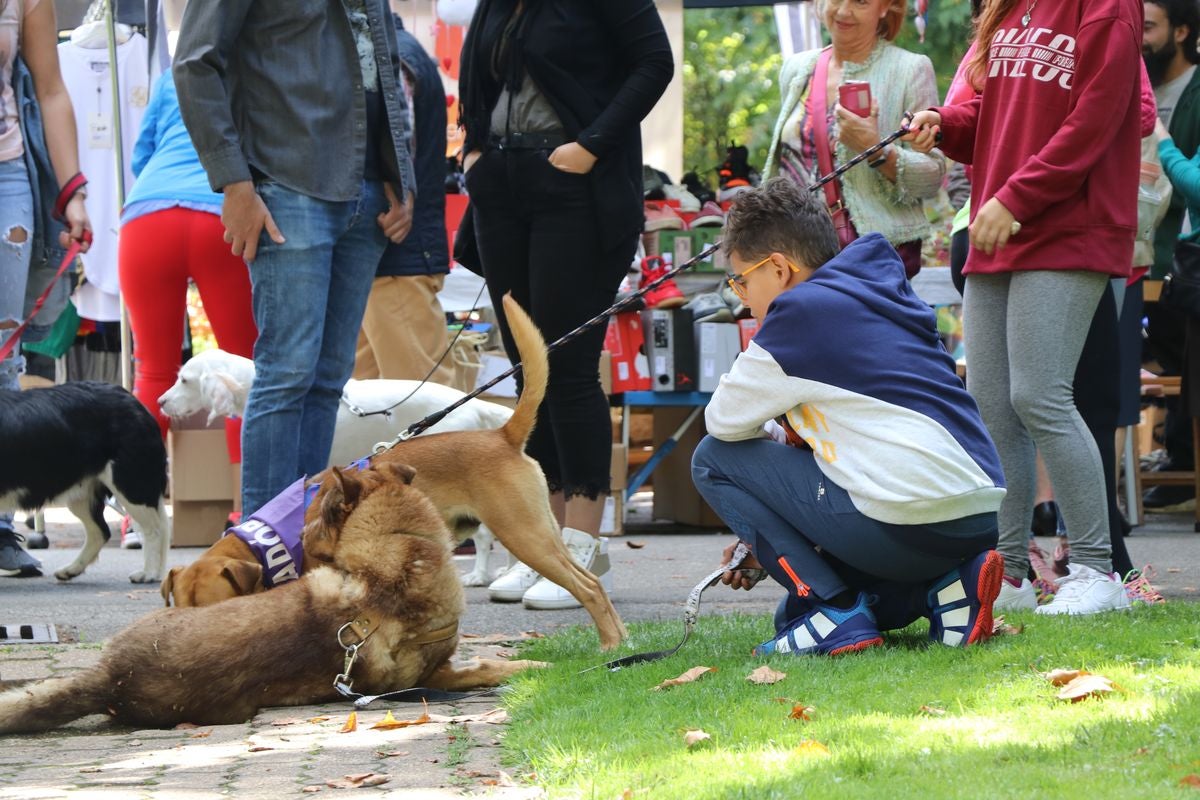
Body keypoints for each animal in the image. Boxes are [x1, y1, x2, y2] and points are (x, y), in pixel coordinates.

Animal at [0, 462, 544, 734]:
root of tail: (112, 677)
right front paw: (536, 668)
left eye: (316, 511)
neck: (396, 551)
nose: (298, 536)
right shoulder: (439, 674)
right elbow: (491, 667)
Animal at [166, 293, 628, 652]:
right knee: (593, 581)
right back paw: (622, 641)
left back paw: (609, 645)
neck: (270, 543)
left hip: (522, 534)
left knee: (588, 587)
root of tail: (500, 434)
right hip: (539, 532)